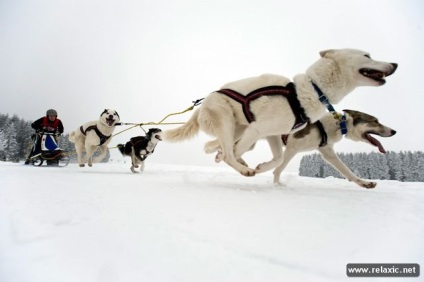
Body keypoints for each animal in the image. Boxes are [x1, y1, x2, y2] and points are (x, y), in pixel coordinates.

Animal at [163, 49, 398, 176]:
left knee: (213, 146)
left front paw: (262, 166)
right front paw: (244, 164)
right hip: (228, 124)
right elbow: (233, 154)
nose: (395, 64)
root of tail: (202, 105)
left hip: (238, 130)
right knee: (229, 152)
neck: (311, 90)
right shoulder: (258, 130)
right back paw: (242, 168)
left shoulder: (272, 134)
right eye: (367, 55)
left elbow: (276, 160)